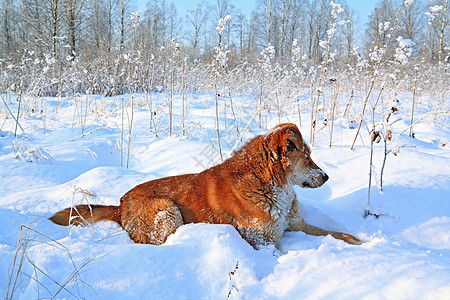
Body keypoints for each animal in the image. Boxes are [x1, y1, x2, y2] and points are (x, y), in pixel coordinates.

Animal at [49, 123, 360, 247]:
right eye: (307, 157)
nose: (327, 177)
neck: (269, 185)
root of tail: (120, 205)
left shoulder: (297, 225)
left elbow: (334, 232)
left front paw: (356, 240)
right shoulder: (262, 241)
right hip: (167, 212)